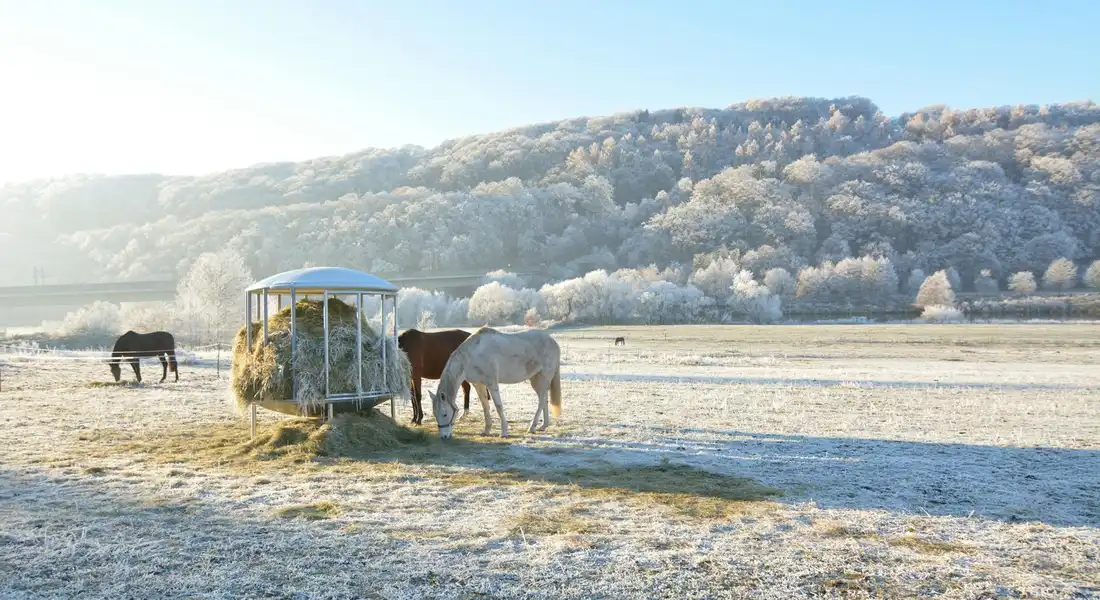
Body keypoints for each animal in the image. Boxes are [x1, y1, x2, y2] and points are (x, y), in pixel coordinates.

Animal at [428, 327, 561, 439]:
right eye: (435, 414)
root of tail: (553, 342)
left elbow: (498, 406)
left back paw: (532, 427)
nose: (444, 437)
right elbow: (485, 406)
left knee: (541, 400)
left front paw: (504, 432)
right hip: (535, 379)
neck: (472, 356)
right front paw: (486, 430)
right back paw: (543, 426)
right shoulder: (479, 384)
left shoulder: (491, 383)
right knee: (544, 399)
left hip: (544, 377)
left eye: (444, 414)